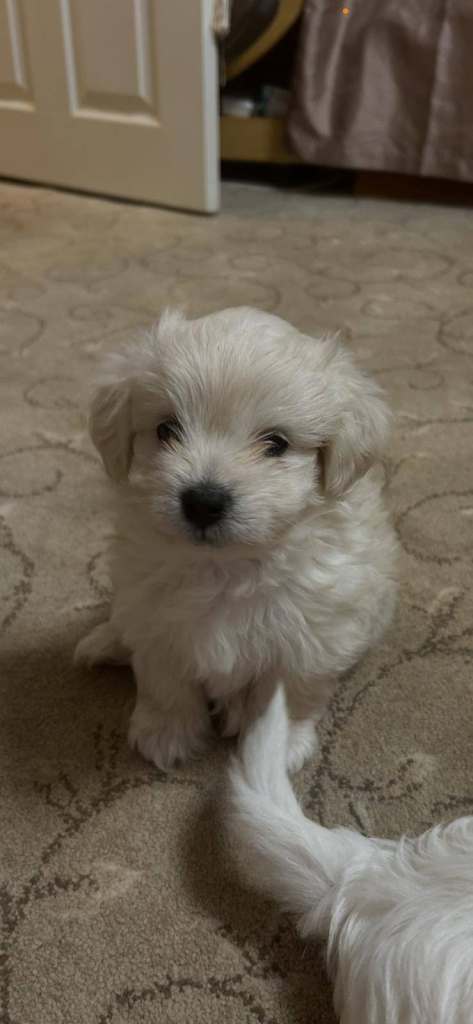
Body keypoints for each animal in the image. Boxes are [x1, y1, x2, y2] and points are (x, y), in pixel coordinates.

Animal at [75, 306, 398, 771]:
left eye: (276, 443)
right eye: (167, 429)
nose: (203, 501)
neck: (225, 565)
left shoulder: (310, 636)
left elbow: (289, 695)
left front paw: (277, 748)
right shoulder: (155, 618)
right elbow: (164, 683)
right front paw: (166, 734)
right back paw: (105, 641)